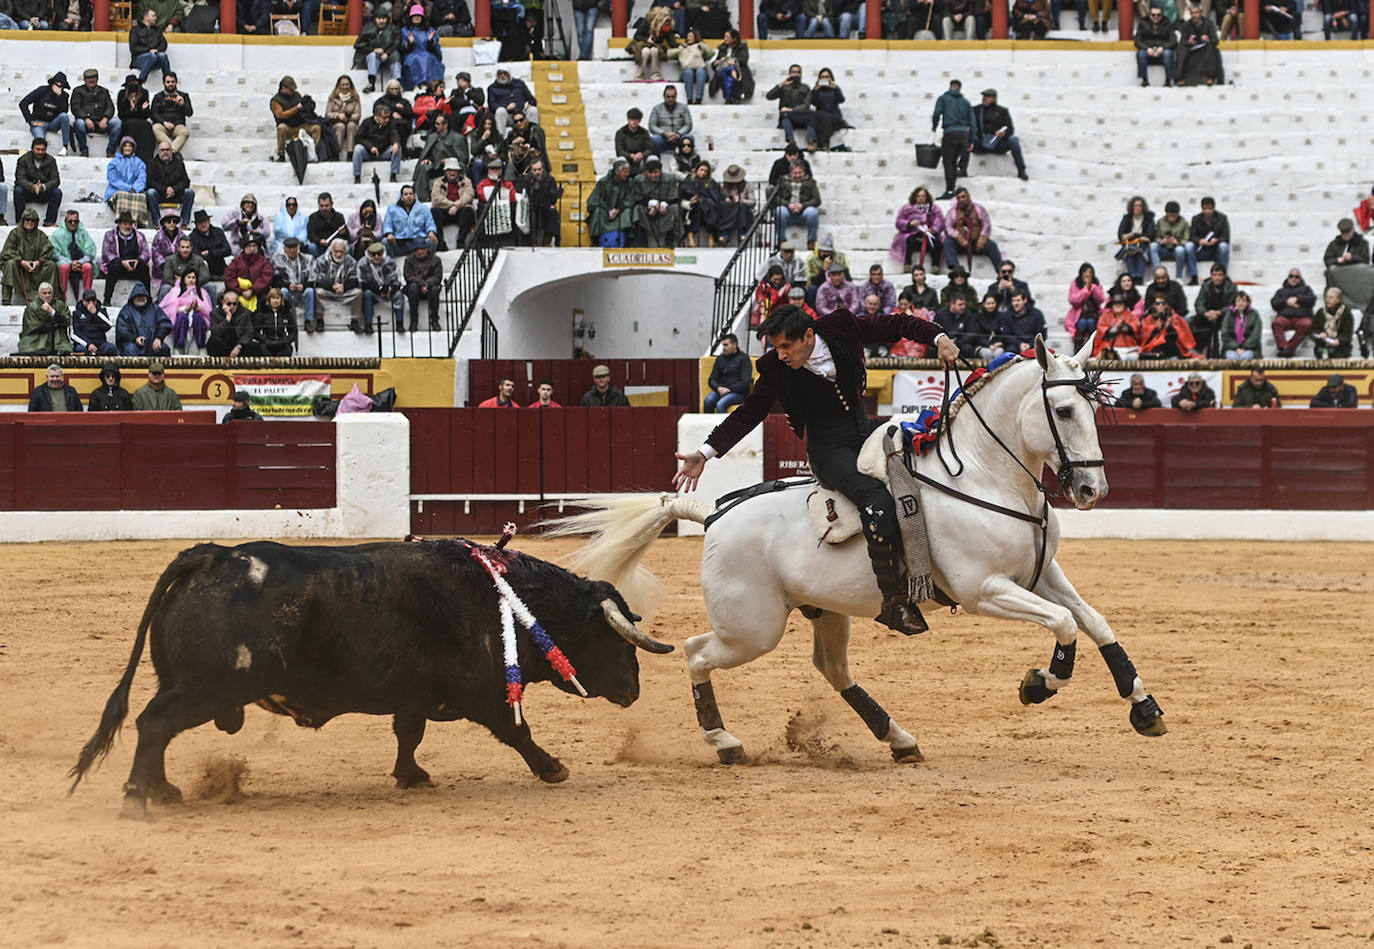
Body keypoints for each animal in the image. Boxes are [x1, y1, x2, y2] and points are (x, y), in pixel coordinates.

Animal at [69, 541, 670, 818]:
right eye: (617, 639)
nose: (633, 689)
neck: (506, 600)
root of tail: (212, 556)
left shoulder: (413, 695)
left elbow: (409, 734)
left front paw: (412, 776)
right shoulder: (484, 694)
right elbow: (517, 731)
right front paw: (554, 768)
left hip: (188, 685)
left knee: (157, 729)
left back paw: (164, 790)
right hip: (206, 687)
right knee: (153, 724)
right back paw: (137, 798)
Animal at [552, 337, 1165, 769]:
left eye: (1093, 408)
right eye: (1062, 410)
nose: (1092, 490)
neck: (984, 476)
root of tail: (714, 514)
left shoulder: (1040, 575)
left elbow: (1094, 620)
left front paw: (1145, 708)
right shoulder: (985, 589)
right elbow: (1064, 623)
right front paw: (1038, 684)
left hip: (825, 612)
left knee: (832, 668)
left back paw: (898, 738)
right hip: (752, 627)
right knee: (696, 651)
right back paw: (725, 742)